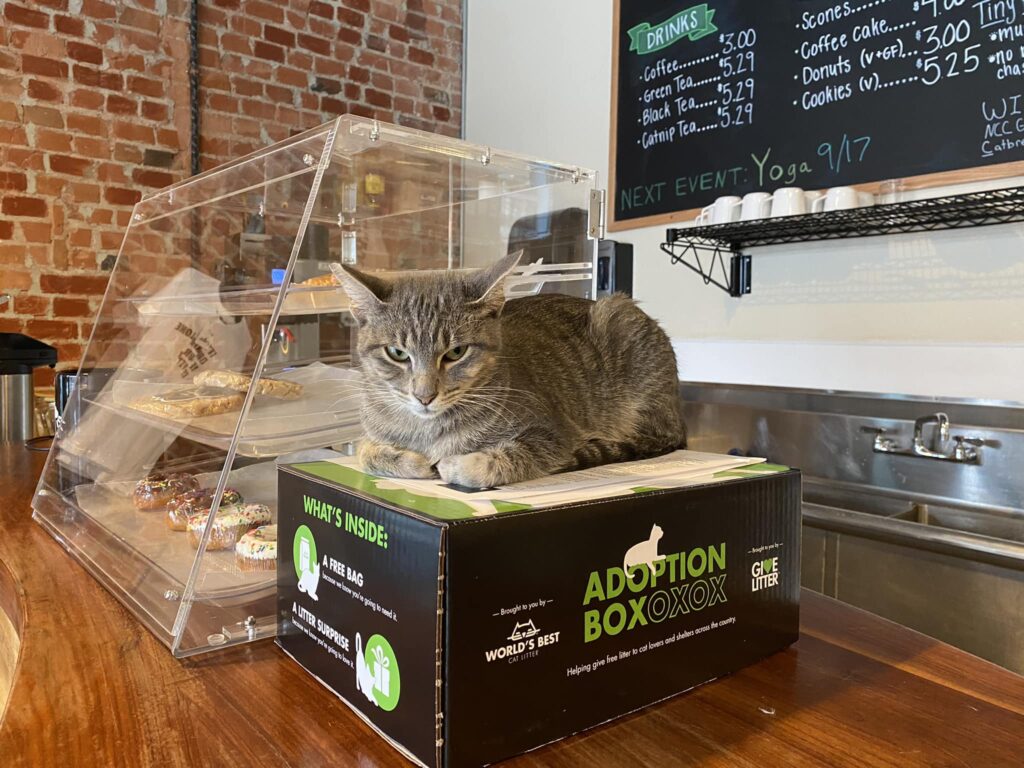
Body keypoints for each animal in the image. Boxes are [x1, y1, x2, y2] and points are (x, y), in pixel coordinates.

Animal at [333, 252, 688, 493]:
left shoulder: (552, 434)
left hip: (623, 326)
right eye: (397, 353)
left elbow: (505, 459)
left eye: (456, 352)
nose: (425, 396)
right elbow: (365, 453)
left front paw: (457, 464)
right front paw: (414, 461)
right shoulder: (369, 435)